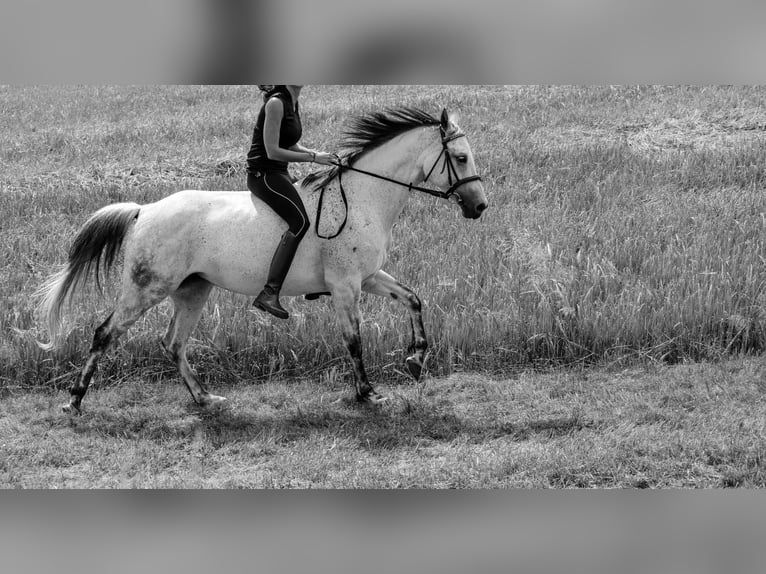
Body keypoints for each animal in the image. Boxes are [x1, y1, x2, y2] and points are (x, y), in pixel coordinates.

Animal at [36, 107, 488, 414]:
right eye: (461, 158)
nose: (480, 206)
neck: (363, 197)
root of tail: (144, 210)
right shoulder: (345, 285)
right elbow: (354, 340)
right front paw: (368, 392)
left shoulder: (370, 276)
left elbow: (413, 299)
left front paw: (415, 360)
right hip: (147, 288)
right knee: (105, 333)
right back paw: (75, 401)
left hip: (193, 290)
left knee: (173, 343)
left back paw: (204, 397)